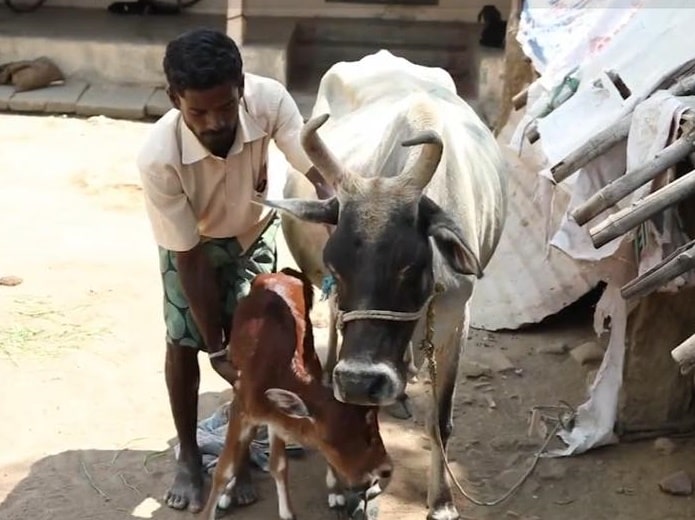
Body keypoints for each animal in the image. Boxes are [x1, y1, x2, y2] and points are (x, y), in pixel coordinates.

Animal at [200, 268, 393, 520]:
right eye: (329, 440)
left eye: (374, 428)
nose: (386, 469)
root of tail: (280, 273)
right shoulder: (241, 406)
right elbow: (223, 470)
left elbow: (279, 464)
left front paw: (291, 511)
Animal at [261, 50, 508, 520]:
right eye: (335, 267)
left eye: (409, 266)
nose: (360, 381)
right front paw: (350, 487)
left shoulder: (456, 319)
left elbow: (440, 419)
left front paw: (442, 501)